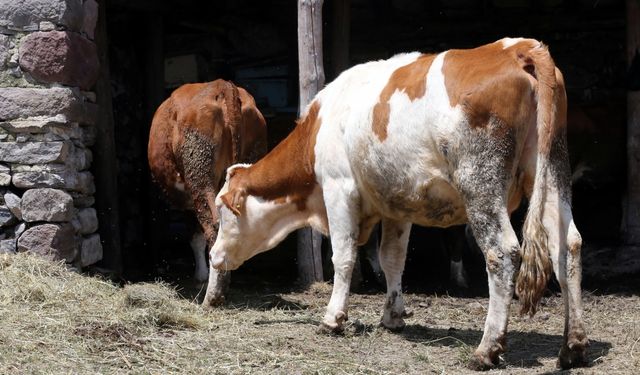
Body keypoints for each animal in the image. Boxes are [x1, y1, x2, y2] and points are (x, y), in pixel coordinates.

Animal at [149, 80, 266, 306]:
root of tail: (222, 85)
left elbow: (195, 236)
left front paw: (201, 277)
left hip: (199, 173)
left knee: (213, 227)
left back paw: (212, 296)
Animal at [208, 38, 588, 370]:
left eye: (224, 210)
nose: (213, 256)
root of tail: (515, 47)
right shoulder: (397, 202)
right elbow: (392, 258)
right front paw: (392, 316)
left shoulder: (338, 188)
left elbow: (343, 257)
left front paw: (333, 318)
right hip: (551, 168)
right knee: (568, 245)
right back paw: (573, 346)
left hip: (481, 182)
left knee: (503, 253)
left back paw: (487, 349)